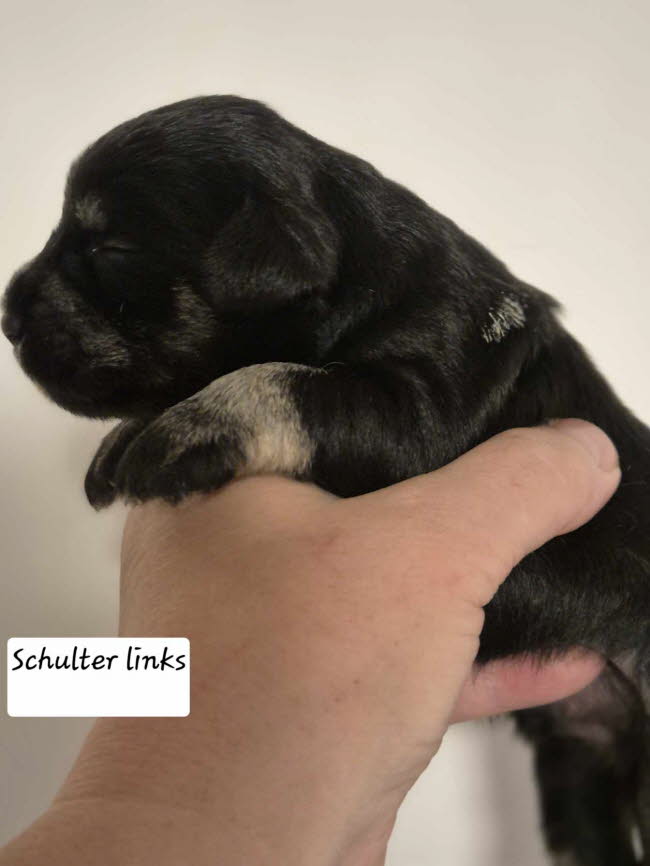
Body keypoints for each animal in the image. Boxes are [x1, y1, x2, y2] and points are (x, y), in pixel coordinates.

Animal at [3, 95, 650, 864]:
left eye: (113, 249)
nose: (6, 313)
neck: (358, 275)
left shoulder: (428, 400)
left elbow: (292, 381)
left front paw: (192, 427)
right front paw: (125, 436)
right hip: (578, 767)